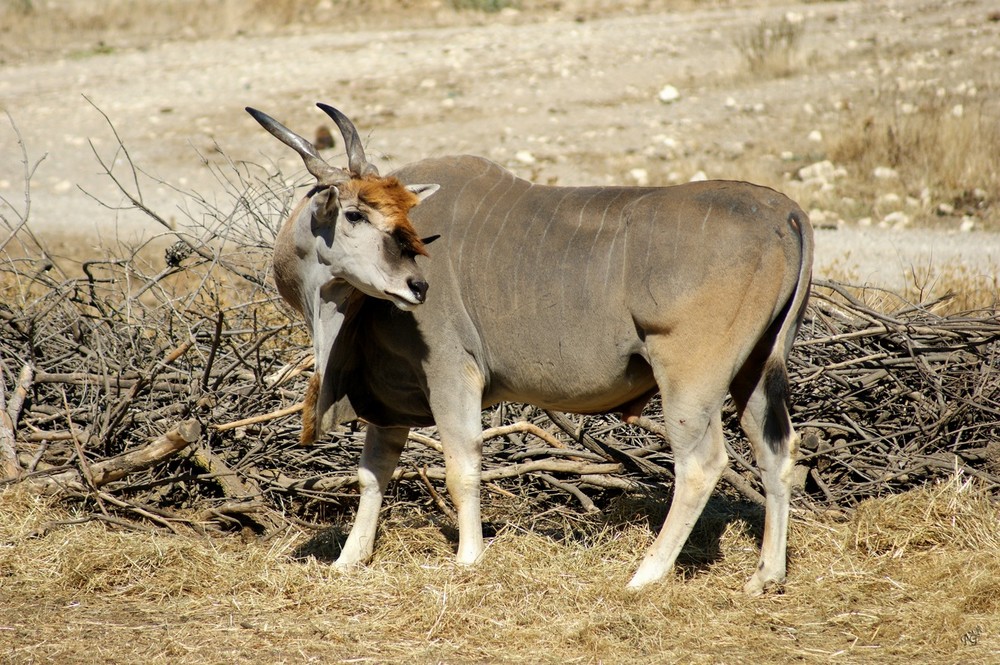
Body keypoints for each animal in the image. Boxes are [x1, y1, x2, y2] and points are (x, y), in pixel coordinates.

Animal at [248, 105, 812, 596]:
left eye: (390, 215)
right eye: (355, 215)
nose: (417, 286)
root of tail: (786, 212)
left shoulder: (451, 373)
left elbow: (461, 465)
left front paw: (468, 559)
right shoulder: (390, 400)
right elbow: (373, 473)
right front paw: (349, 560)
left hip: (689, 379)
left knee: (700, 463)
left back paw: (646, 574)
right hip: (757, 369)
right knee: (777, 450)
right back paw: (767, 576)